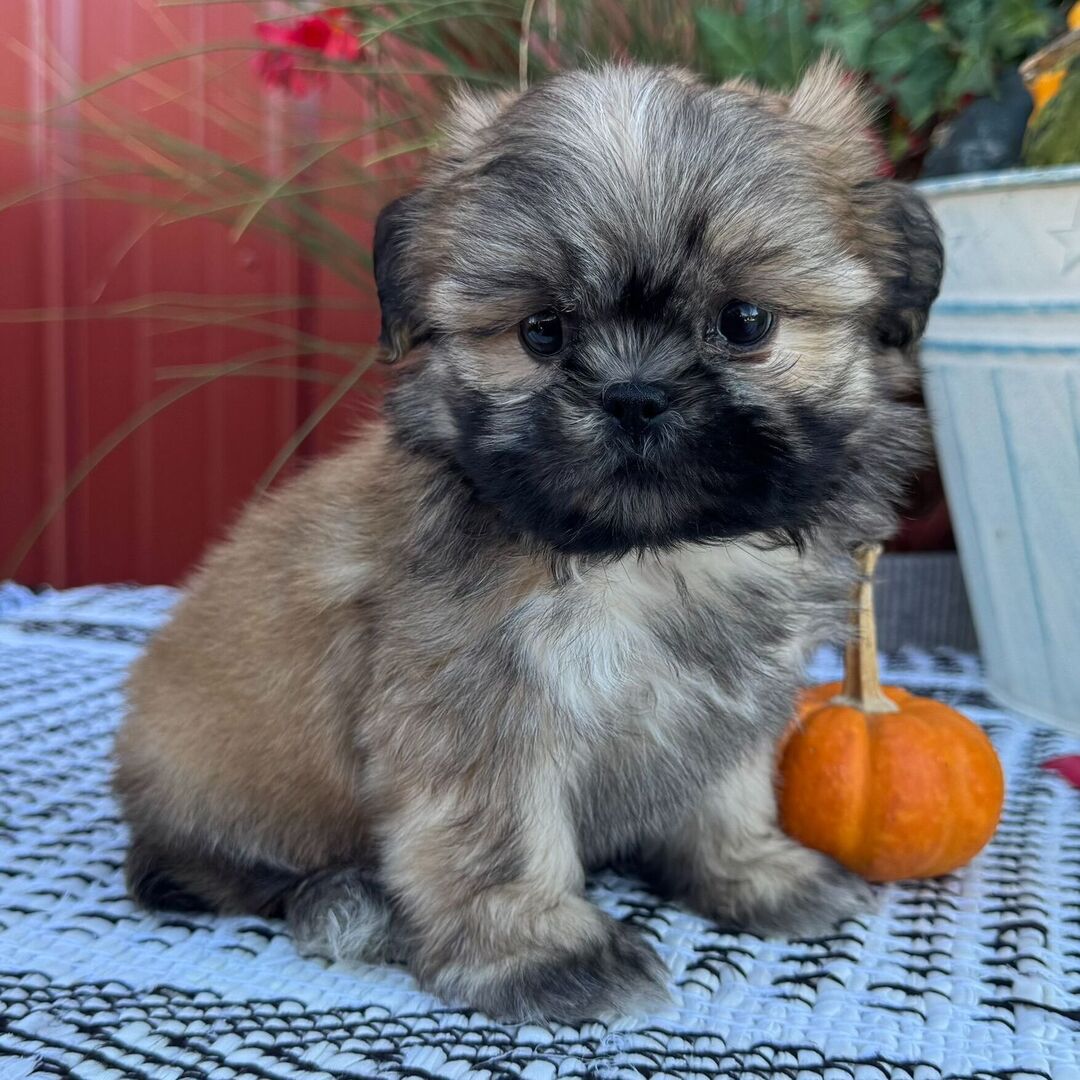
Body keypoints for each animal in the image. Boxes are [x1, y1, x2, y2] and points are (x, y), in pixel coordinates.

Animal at [115, 59, 943, 1022]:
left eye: (745, 321)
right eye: (542, 331)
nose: (634, 395)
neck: (648, 557)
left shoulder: (732, 696)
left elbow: (727, 792)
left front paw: (753, 873)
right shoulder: (480, 713)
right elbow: (501, 834)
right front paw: (541, 952)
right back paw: (339, 898)